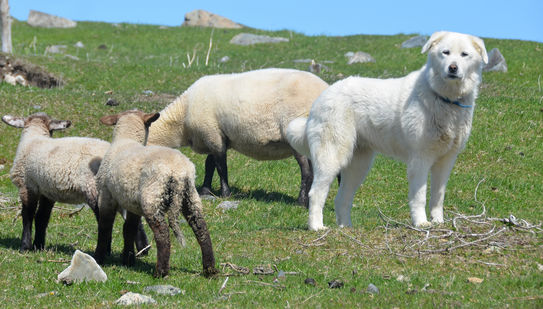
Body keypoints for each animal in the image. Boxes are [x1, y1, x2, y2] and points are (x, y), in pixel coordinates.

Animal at [2, 112, 151, 251]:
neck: (33, 138)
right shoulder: (47, 192)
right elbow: (41, 218)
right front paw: (38, 246)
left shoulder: (26, 185)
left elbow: (27, 216)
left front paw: (25, 246)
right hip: (121, 190)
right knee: (133, 220)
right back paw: (143, 249)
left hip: (94, 189)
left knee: (105, 220)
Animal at [94, 109, 218, 276]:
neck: (126, 139)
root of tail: (178, 172)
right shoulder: (133, 204)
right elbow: (129, 229)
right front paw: (128, 260)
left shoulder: (106, 196)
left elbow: (105, 227)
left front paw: (99, 257)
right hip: (191, 197)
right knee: (201, 230)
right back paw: (210, 270)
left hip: (153, 198)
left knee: (163, 234)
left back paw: (161, 272)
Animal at [147, 68, 330, 206]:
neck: (182, 116)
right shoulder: (214, 136)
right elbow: (209, 164)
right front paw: (205, 190)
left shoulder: (212, 134)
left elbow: (221, 166)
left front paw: (225, 193)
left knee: (307, 171)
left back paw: (301, 202)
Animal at [286, 31, 490, 230]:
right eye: (445, 53)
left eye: (464, 54)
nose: (453, 68)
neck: (444, 98)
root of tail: (323, 96)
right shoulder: (420, 159)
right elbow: (419, 197)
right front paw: (421, 223)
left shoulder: (446, 161)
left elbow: (438, 197)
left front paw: (438, 222)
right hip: (332, 156)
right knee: (316, 193)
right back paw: (316, 227)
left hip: (358, 166)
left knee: (341, 198)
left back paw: (346, 227)